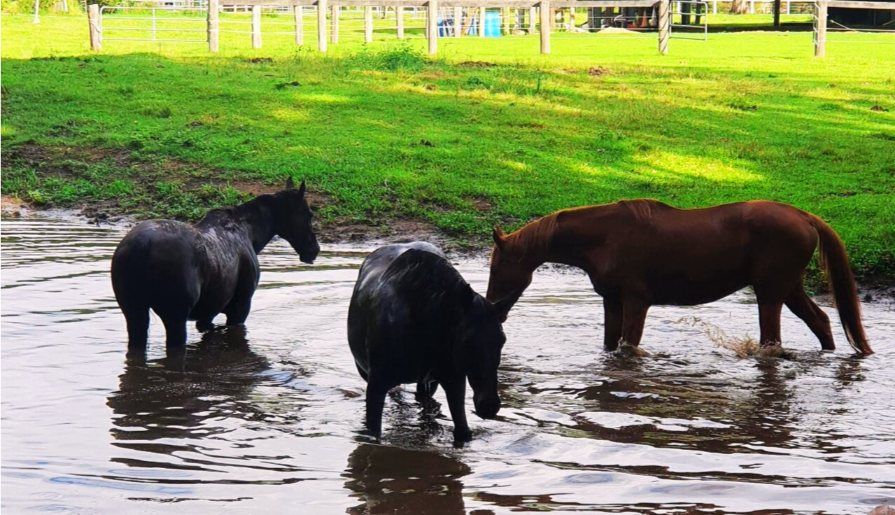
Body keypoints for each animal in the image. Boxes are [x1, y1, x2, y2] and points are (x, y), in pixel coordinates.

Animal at [111, 178, 319, 355]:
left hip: (134, 311)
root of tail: (141, 246)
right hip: (174, 316)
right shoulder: (240, 307)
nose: (314, 249)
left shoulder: (208, 312)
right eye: (309, 214)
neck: (252, 234)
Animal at [347, 242, 513, 442]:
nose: (490, 406)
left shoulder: (453, 378)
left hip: (427, 383)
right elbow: (373, 435)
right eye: (467, 340)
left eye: (502, 340)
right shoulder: (376, 381)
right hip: (365, 370)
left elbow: (463, 432)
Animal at [486, 200, 873, 356]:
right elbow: (611, 345)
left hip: (771, 293)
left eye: (496, 267)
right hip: (788, 289)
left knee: (773, 342)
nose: (493, 309)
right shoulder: (612, 300)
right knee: (821, 322)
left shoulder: (636, 302)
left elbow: (629, 345)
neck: (605, 237)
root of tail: (803, 216)